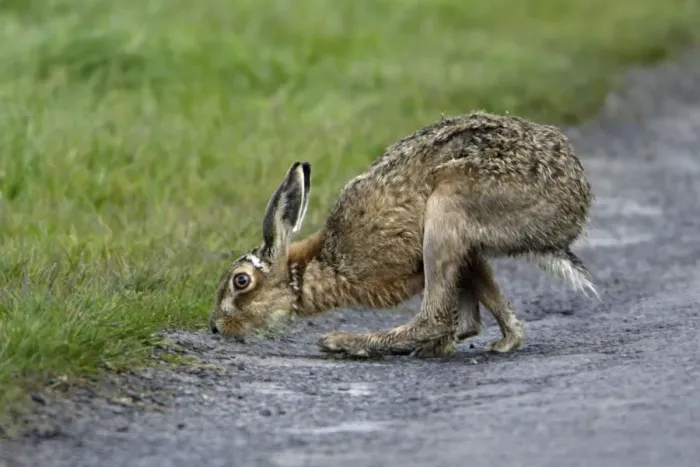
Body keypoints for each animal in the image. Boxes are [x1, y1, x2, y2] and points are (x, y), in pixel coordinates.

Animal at [209, 111, 598, 358]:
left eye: (241, 281)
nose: (215, 327)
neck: (317, 266)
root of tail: (575, 199)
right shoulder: (469, 257)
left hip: (447, 209)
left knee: (433, 318)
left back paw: (344, 343)